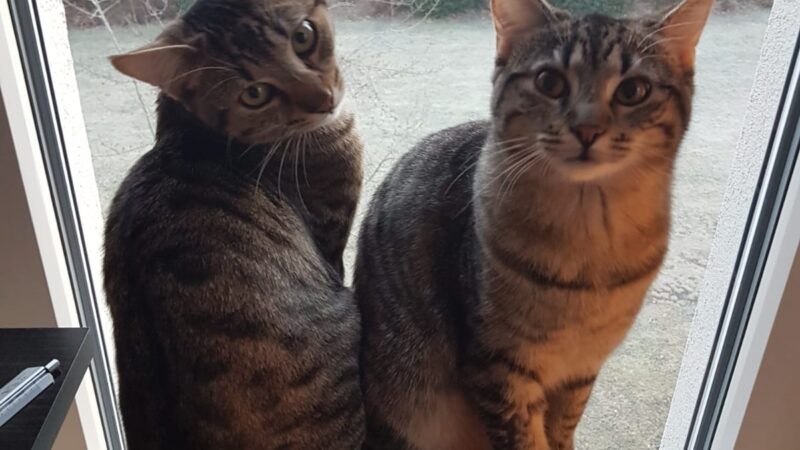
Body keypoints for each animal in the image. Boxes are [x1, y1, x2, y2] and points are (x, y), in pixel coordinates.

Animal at [354, 0, 713, 449]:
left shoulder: (580, 370)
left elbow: (562, 428)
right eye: (549, 82)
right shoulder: (499, 369)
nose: (587, 129)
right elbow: (525, 436)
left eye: (633, 90)